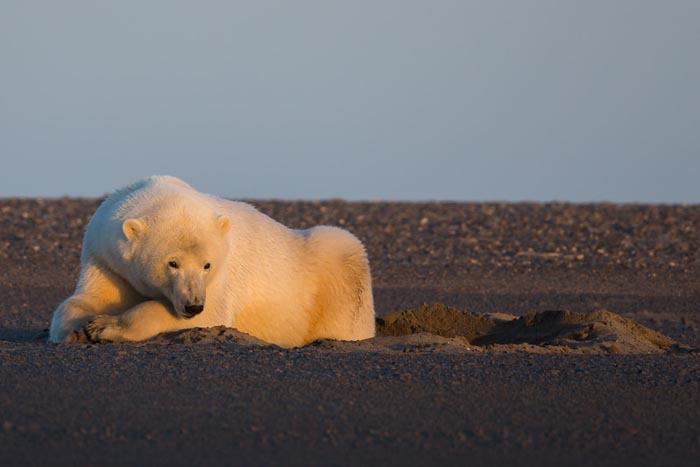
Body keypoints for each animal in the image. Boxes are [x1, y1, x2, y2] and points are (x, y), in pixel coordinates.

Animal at [48, 175, 376, 347]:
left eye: (207, 265)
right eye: (172, 263)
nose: (193, 304)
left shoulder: (221, 277)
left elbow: (208, 315)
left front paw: (105, 326)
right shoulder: (106, 256)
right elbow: (89, 297)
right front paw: (76, 330)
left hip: (332, 266)